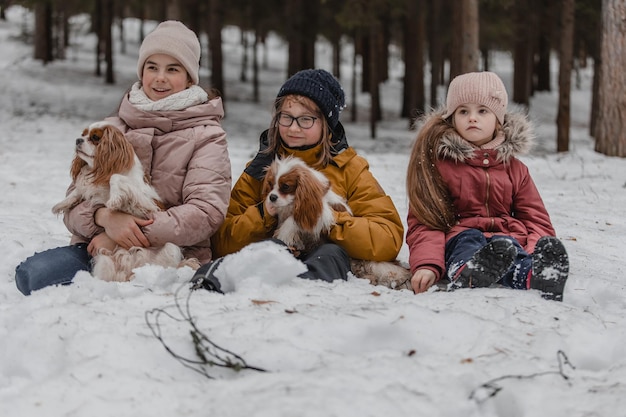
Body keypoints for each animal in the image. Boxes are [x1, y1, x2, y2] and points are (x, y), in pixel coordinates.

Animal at [52, 121, 196, 282]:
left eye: (95, 138)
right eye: (83, 134)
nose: (78, 140)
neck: (101, 173)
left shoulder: (144, 200)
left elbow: (115, 177)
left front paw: (114, 201)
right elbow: (78, 190)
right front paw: (61, 204)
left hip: (170, 247)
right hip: (104, 261)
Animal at [262, 154, 412, 290]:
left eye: (285, 186)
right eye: (270, 184)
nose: (272, 197)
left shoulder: (319, 211)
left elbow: (293, 220)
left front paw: (284, 234)